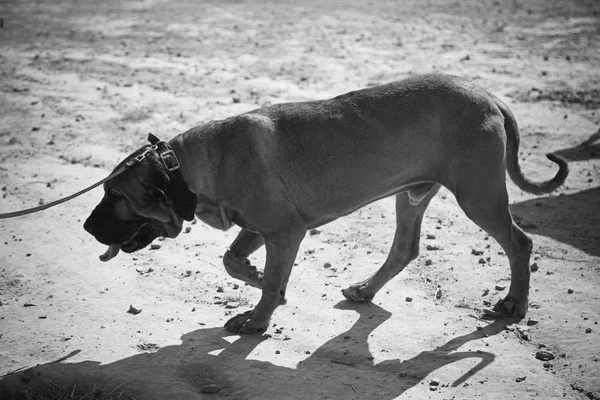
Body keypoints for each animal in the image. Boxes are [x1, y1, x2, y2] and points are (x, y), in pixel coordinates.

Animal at [83, 72, 568, 334]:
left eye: (116, 196)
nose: (86, 228)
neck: (193, 163)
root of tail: (490, 96)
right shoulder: (262, 229)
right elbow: (232, 260)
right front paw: (256, 280)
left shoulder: (284, 233)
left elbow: (264, 280)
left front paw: (257, 318)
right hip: (411, 197)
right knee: (404, 249)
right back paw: (365, 290)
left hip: (478, 196)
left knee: (520, 243)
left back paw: (515, 304)